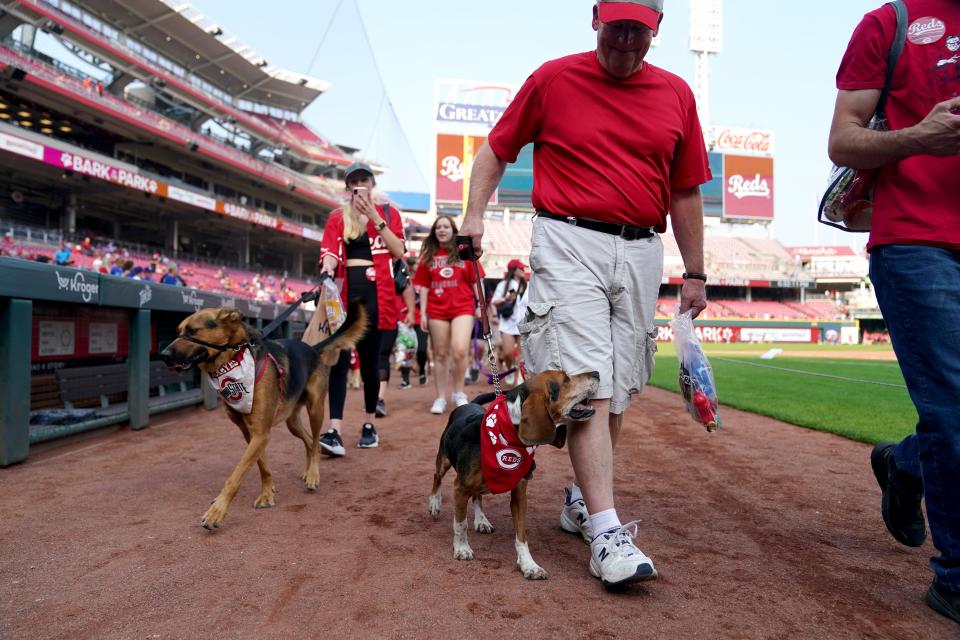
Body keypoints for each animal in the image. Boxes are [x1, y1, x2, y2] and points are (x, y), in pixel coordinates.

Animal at [159, 300, 366, 528]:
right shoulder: (252, 433)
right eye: (178, 331)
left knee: (314, 441)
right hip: (292, 421)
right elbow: (262, 466)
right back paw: (308, 469)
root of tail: (312, 348)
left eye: (192, 331)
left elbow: (236, 475)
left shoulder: (260, 433)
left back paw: (313, 474)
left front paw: (216, 512)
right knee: (310, 441)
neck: (232, 362)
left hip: (315, 409)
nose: (163, 355)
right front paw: (267, 494)